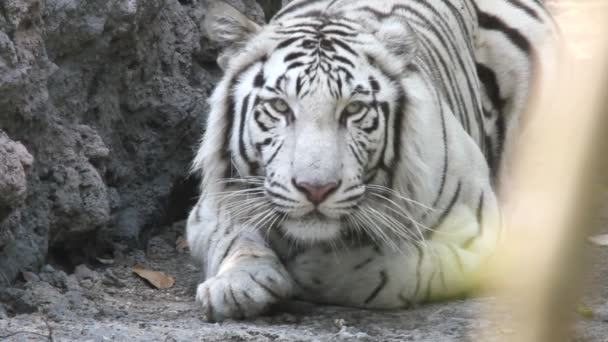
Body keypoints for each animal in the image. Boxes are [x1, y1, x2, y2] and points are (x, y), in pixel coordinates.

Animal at [185, 0, 560, 320]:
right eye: (279, 106)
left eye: (353, 109)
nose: (316, 189)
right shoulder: (211, 205)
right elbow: (234, 237)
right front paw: (238, 285)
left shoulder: (478, 237)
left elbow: (401, 270)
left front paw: (316, 269)